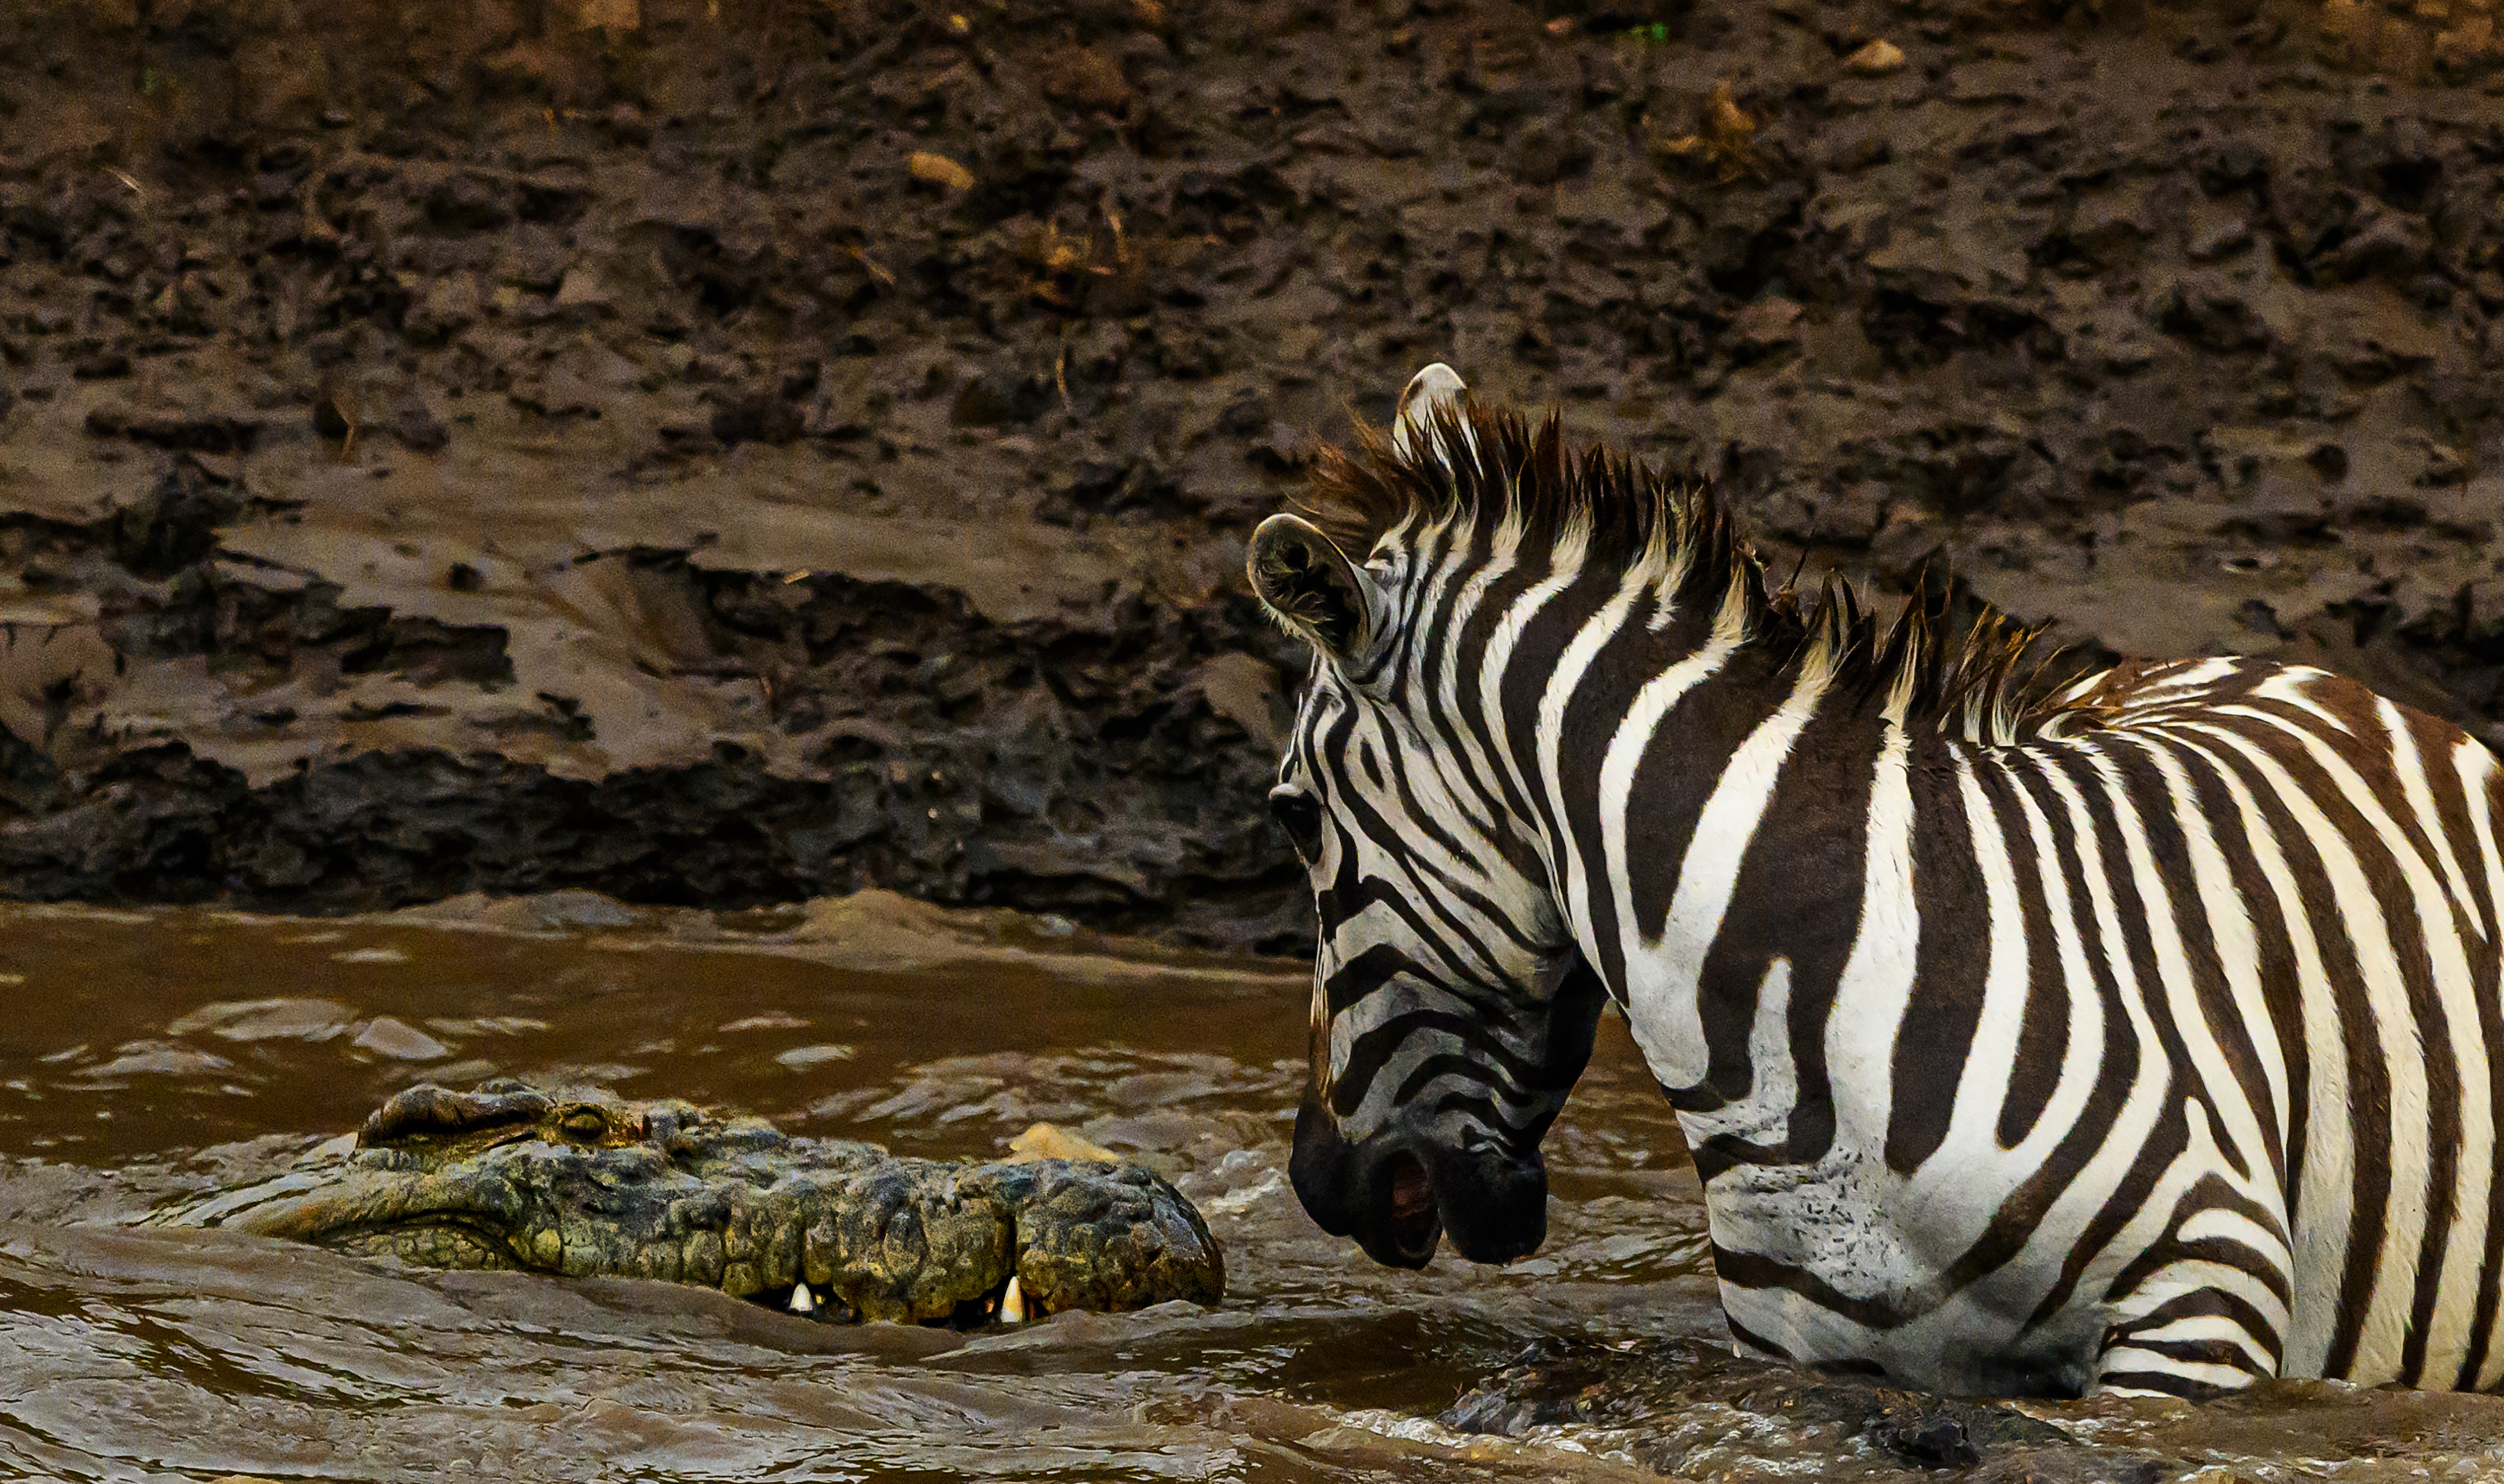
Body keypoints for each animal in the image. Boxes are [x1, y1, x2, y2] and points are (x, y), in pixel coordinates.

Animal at [1248, 362, 2504, 1400]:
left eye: (1294, 818)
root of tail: (2290, 666)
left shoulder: (2200, 1305)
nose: (1316, 1184)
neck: (1788, 1079)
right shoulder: (1810, 1355)